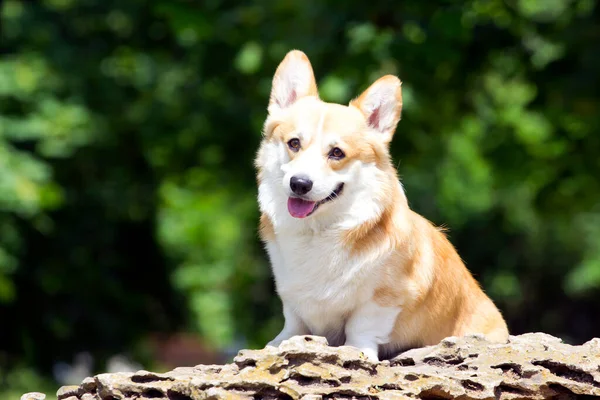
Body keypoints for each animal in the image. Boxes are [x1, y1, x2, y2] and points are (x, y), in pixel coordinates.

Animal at [255, 50, 508, 362]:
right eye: (293, 143)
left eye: (336, 153)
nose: (299, 184)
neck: (318, 232)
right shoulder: (292, 296)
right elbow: (294, 322)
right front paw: (279, 344)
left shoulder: (384, 298)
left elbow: (362, 326)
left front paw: (356, 352)